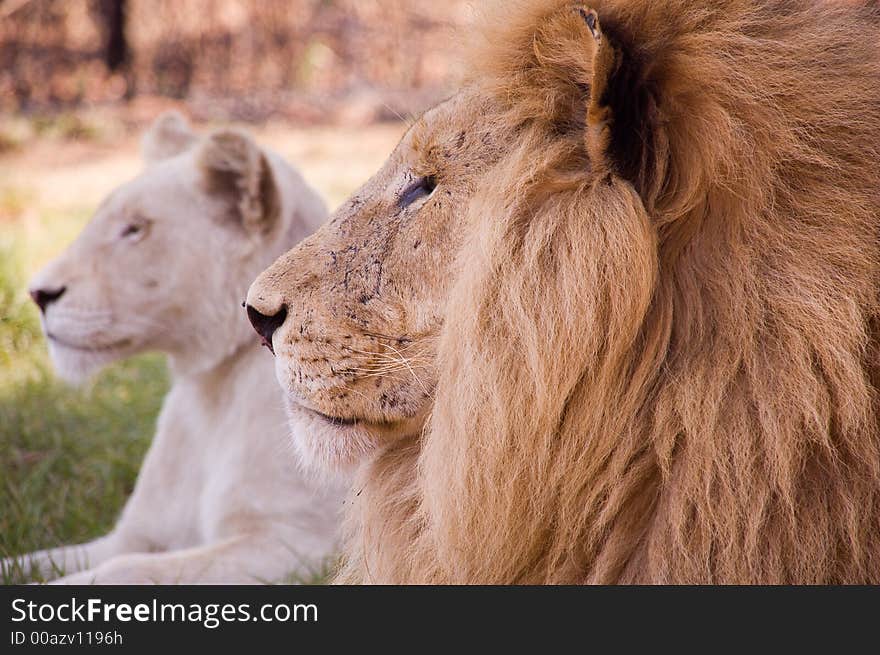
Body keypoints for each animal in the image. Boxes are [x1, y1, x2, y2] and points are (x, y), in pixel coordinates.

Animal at [2, 113, 344, 584]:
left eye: (135, 229)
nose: (37, 294)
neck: (211, 392)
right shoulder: (135, 533)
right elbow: (39, 560)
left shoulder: (297, 547)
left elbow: (126, 570)